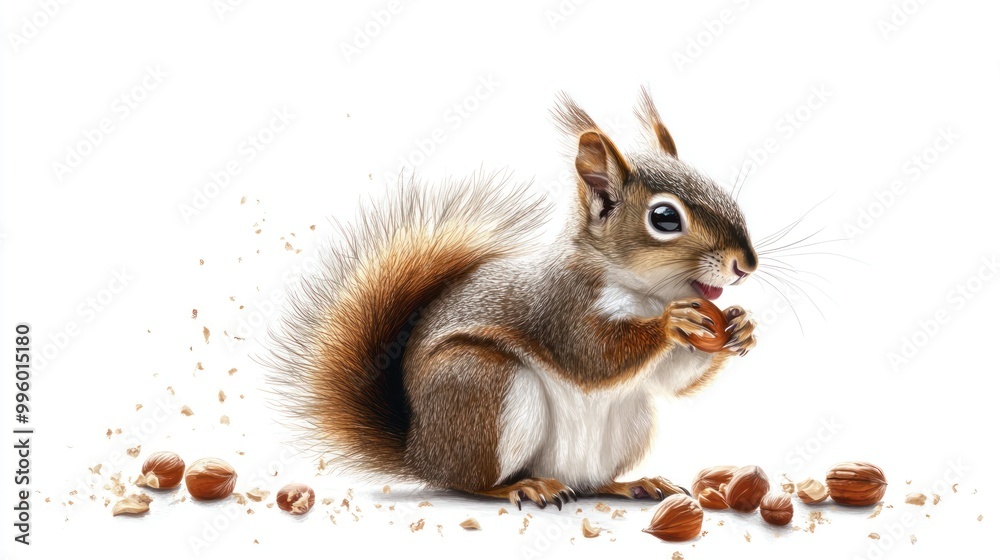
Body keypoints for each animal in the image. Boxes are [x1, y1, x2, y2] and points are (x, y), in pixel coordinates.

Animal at [265, 88, 758, 510]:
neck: (642, 294)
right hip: (483, 385)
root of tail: (419, 451)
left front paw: (740, 326)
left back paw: (631, 483)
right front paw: (671, 323)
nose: (746, 265)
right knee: (470, 482)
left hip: (629, 422)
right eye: (664, 218)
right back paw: (523, 487)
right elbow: (593, 356)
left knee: (590, 481)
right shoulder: (559, 307)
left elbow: (671, 380)